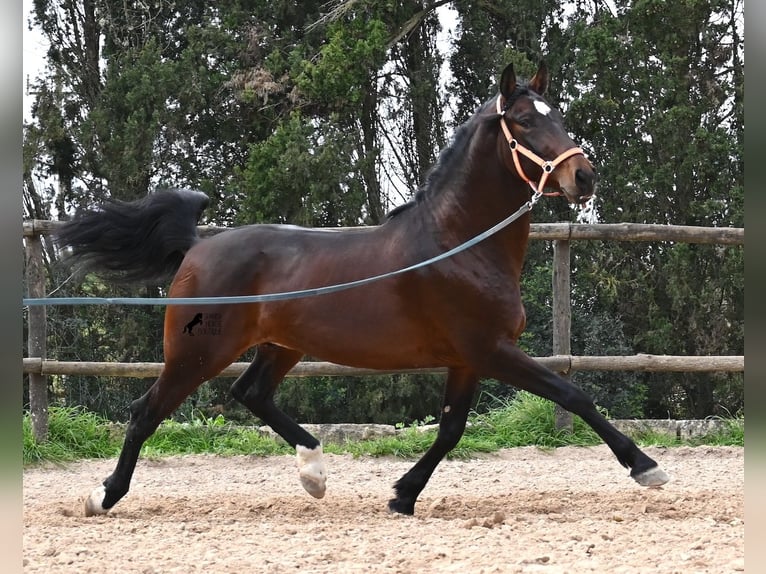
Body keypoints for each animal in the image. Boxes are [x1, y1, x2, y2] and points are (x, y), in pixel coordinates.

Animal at [54, 62, 668, 516]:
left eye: (556, 114)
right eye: (521, 122)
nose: (582, 177)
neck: (460, 245)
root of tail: (200, 244)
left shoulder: (467, 358)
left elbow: (451, 430)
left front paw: (402, 496)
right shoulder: (491, 349)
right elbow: (573, 395)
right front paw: (647, 468)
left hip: (282, 346)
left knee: (251, 394)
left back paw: (315, 474)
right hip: (197, 352)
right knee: (146, 411)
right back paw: (103, 495)